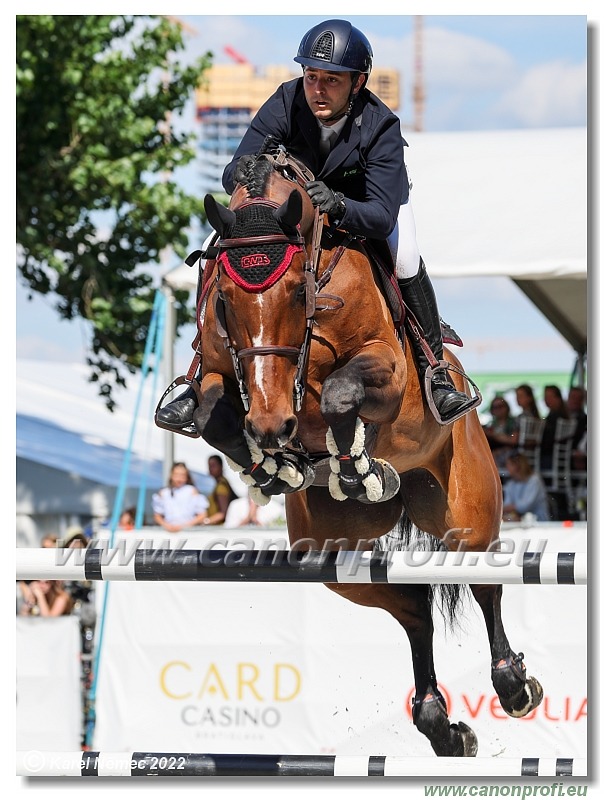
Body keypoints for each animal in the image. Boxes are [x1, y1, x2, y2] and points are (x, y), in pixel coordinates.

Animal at [186, 148, 540, 756]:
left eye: (297, 294)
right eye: (225, 300)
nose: (271, 423)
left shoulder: (386, 367)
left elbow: (339, 391)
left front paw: (350, 460)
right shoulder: (219, 368)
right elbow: (210, 411)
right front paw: (276, 464)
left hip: (466, 511)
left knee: (485, 584)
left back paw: (513, 685)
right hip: (333, 554)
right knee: (413, 610)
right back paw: (440, 723)